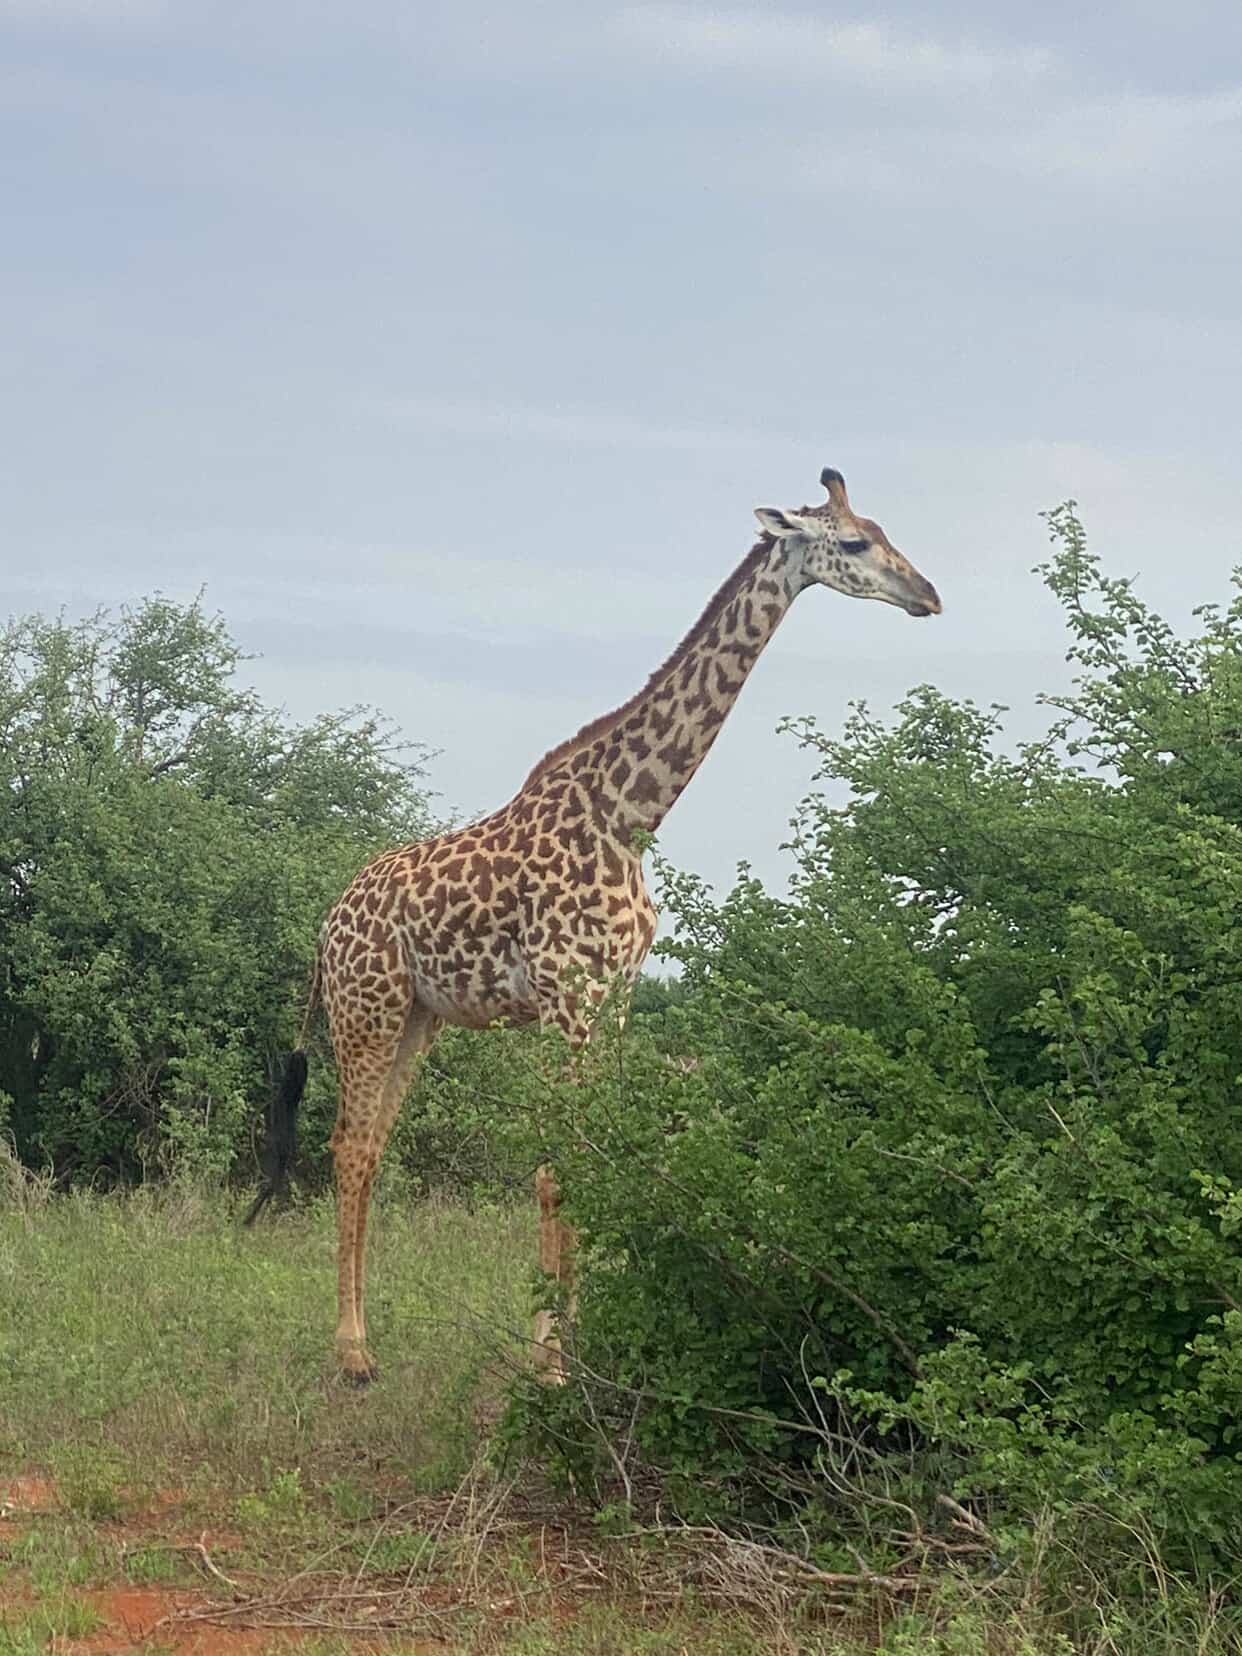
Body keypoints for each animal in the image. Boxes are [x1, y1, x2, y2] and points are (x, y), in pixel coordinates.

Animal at [247, 466, 942, 1384]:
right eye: (856, 541)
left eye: (887, 530)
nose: (927, 594)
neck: (630, 812)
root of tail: (327, 928)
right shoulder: (565, 998)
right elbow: (555, 1168)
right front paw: (547, 1364)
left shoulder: (613, 1001)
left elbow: (595, 1163)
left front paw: (580, 1349)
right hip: (369, 1010)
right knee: (350, 1145)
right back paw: (353, 1351)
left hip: (420, 1018)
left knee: (372, 1143)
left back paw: (368, 1337)